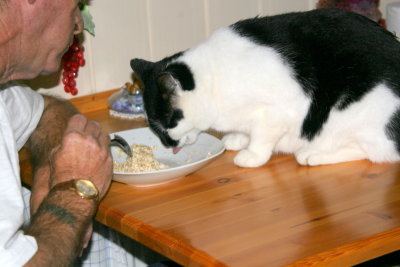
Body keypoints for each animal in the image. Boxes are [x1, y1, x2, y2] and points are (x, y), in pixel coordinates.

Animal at [130, 8, 400, 168]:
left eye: (167, 124)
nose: (167, 143)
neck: (215, 78)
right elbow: (245, 131)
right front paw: (237, 139)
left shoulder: (279, 111)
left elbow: (261, 137)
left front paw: (251, 156)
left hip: (353, 114)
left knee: (377, 152)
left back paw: (312, 154)